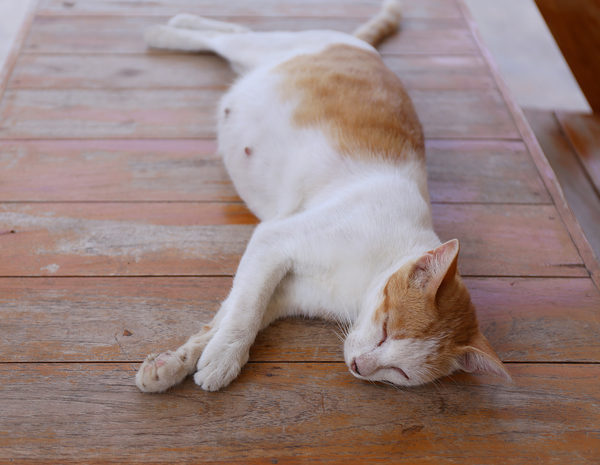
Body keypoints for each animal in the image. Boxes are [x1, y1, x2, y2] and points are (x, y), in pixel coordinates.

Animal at [137, 0, 510, 392]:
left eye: (400, 372)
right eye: (386, 329)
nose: (360, 366)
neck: (364, 280)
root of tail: (363, 47)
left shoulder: (280, 288)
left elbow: (233, 312)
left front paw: (176, 362)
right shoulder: (273, 241)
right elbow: (243, 311)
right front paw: (221, 358)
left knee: (234, 34)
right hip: (263, 48)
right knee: (226, 37)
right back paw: (168, 29)